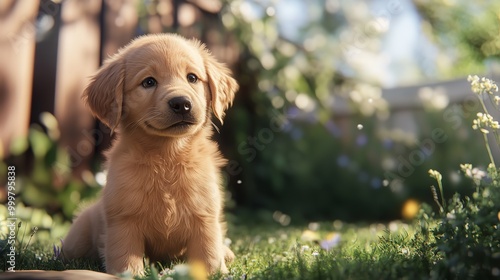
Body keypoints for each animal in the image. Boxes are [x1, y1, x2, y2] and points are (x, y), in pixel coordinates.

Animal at [62, 33, 238, 276]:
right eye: (148, 82)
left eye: (192, 78)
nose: (182, 103)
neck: (167, 157)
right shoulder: (123, 219)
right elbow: (125, 256)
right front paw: (129, 274)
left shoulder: (205, 215)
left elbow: (208, 253)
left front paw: (215, 272)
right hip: (80, 231)